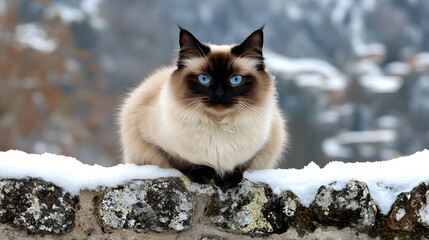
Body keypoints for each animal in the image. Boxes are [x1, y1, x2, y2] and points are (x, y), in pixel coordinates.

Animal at [118, 26, 286, 190]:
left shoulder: (263, 147)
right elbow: (181, 161)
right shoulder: (151, 142)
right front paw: (204, 175)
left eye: (235, 80)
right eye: (204, 79)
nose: (219, 94)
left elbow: (241, 165)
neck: (218, 125)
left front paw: (226, 180)